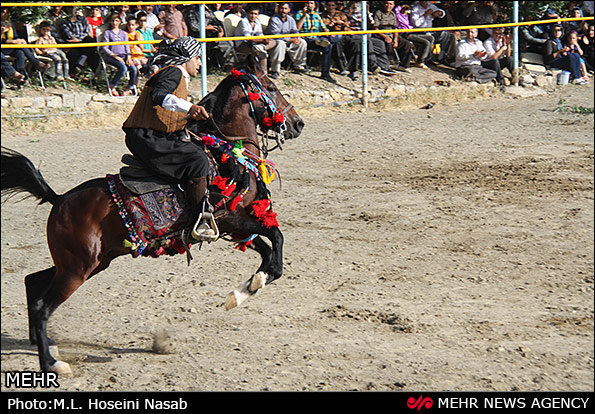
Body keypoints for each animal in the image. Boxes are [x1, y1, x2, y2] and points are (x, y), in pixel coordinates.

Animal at [0, 55, 304, 376]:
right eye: (270, 88)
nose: (298, 123)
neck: (224, 155)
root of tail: (59, 200)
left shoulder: (235, 226)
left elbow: (270, 251)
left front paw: (248, 288)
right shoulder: (228, 220)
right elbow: (276, 238)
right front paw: (253, 284)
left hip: (89, 263)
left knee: (33, 283)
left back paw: (44, 344)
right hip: (77, 268)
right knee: (44, 306)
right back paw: (51, 362)